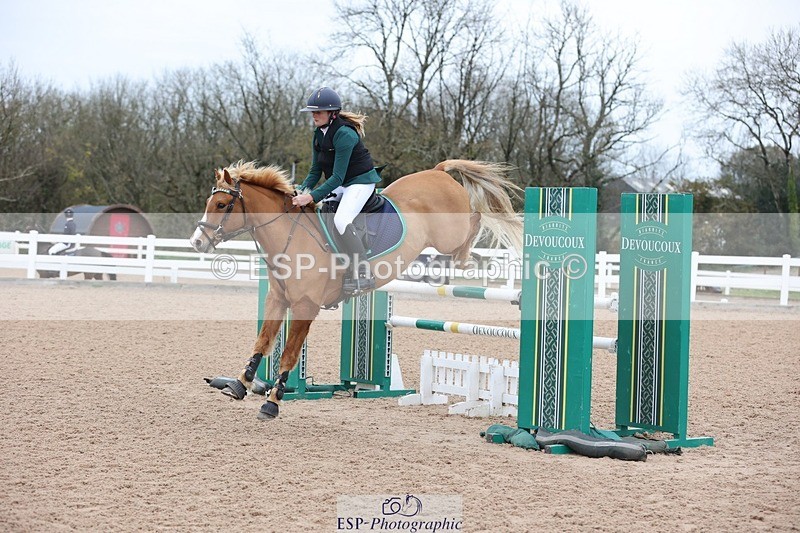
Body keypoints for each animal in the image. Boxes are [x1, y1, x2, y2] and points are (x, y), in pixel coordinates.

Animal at [190, 159, 522, 420]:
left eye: (222, 205)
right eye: (209, 203)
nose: (197, 242)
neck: (290, 236)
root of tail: (437, 172)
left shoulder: (305, 306)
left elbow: (289, 353)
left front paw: (272, 401)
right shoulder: (278, 299)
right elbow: (262, 342)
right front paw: (240, 383)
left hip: (449, 234)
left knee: (475, 219)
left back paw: (466, 258)